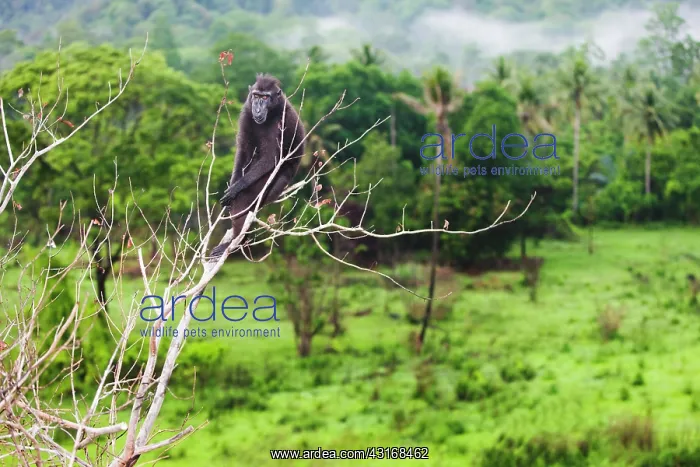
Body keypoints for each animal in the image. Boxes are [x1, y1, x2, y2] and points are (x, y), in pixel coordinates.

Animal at [210, 74, 305, 259]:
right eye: (255, 96)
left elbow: (269, 159)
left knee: (244, 200)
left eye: (265, 97)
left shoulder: (280, 122)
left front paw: (236, 188)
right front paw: (233, 184)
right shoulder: (246, 113)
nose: (258, 109)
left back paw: (235, 243)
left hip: (272, 181)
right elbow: (243, 151)